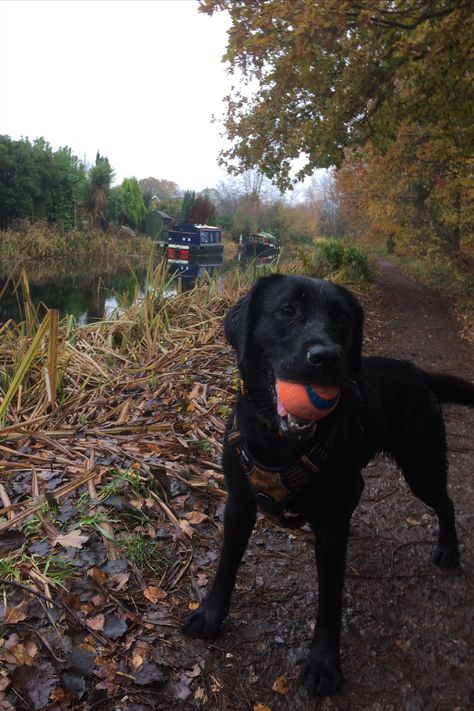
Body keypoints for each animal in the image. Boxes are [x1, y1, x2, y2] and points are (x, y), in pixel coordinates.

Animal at [182, 276, 474, 700]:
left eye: (342, 319)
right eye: (286, 310)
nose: (327, 357)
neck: (282, 444)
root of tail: (417, 371)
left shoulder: (332, 527)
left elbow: (330, 601)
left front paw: (323, 664)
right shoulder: (239, 503)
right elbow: (226, 565)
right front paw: (209, 614)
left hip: (421, 466)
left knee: (446, 502)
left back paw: (449, 549)